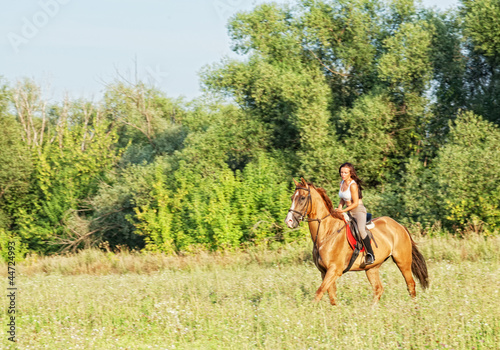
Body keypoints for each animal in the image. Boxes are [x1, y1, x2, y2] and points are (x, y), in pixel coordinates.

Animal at [284, 179, 428, 304]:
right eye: (291, 198)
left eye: (302, 198)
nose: (289, 221)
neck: (327, 233)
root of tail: (400, 226)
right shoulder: (324, 272)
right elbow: (332, 296)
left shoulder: (334, 270)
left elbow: (319, 293)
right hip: (372, 268)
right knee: (378, 289)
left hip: (402, 261)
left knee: (410, 285)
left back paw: (414, 310)